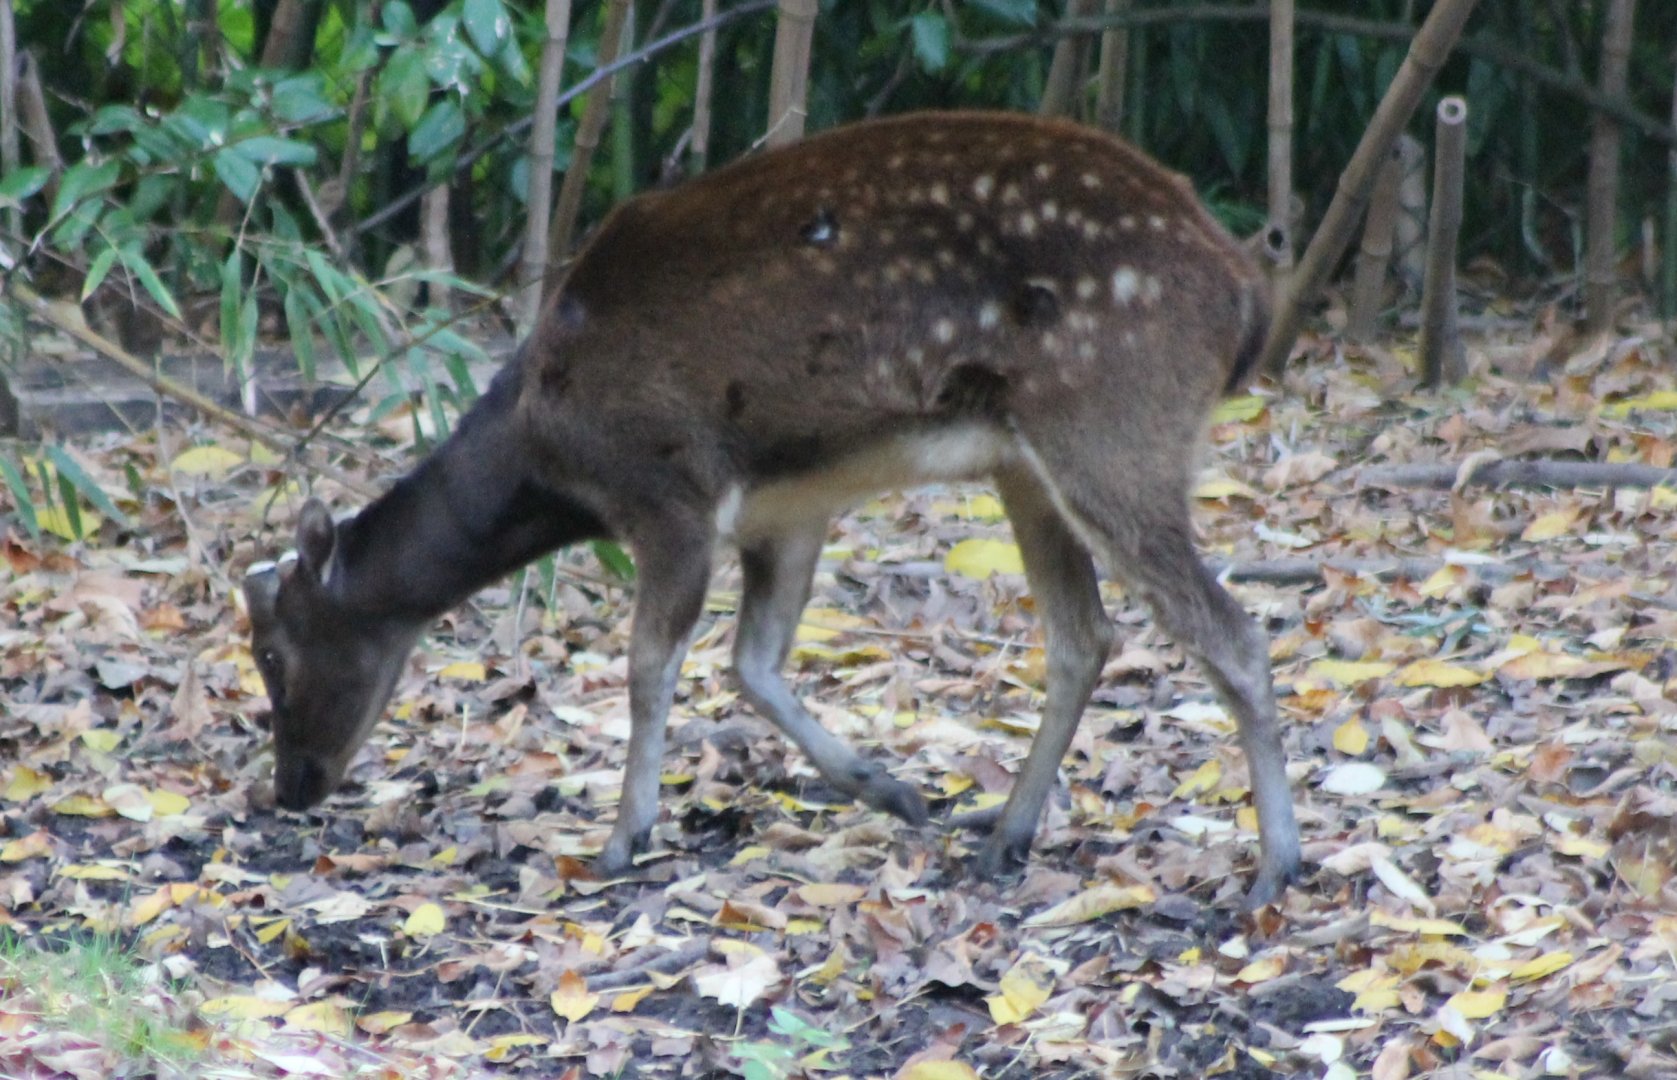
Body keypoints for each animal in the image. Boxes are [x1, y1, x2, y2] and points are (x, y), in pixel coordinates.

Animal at [242, 110, 1301, 907]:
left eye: (276, 657)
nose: (291, 788)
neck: (552, 452)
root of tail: (1247, 296)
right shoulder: (785, 510)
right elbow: (752, 662)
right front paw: (889, 789)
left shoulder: (668, 487)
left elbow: (648, 665)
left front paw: (621, 840)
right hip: (1026, 463)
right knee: (1084, 635)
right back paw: (1004, 834)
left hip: (1112, 424)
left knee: (1230, 630)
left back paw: (1273, 868)